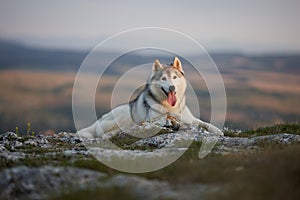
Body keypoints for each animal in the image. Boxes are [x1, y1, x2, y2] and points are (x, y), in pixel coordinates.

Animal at [77, 56, 223, 138]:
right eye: (163, 78)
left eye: (174, 77)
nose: (172, 87)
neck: (169, 106)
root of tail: (98, 120)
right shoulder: (153, 118)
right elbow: (166, 118)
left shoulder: (191, 118)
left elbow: (203, 122)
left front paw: (216, 130)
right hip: (124, 113)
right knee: (103, 133)